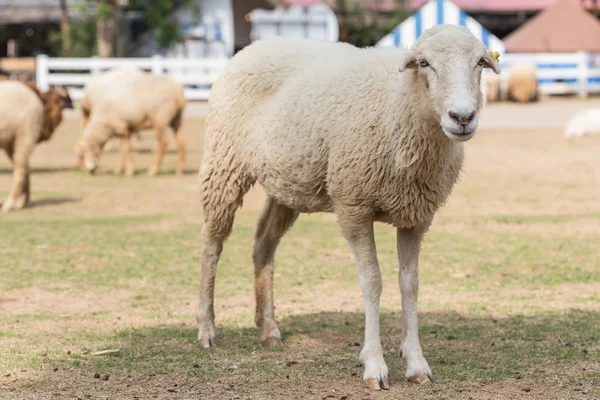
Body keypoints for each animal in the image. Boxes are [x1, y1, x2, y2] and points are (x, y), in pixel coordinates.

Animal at [0, 81, 73, 212]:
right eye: (65, 99)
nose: (73, 106)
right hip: (12, 141)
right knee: (24, 167)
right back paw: (21, 201)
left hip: (23, 136)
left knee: (20, 170)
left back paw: (11, 204)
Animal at [195, 23, 500, 390]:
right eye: (424, 63)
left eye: (480, 62)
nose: (462, 117)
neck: (400, 106)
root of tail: (254, 46)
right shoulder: (354, 205)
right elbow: (372, 282)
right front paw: (374, 365)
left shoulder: (417, 216)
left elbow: (409, 283)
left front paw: (416, 363)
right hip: (224, 162)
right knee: (211, 245)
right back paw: (207, 328)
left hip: (288, 184)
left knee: (263, 244)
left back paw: (268, 328)